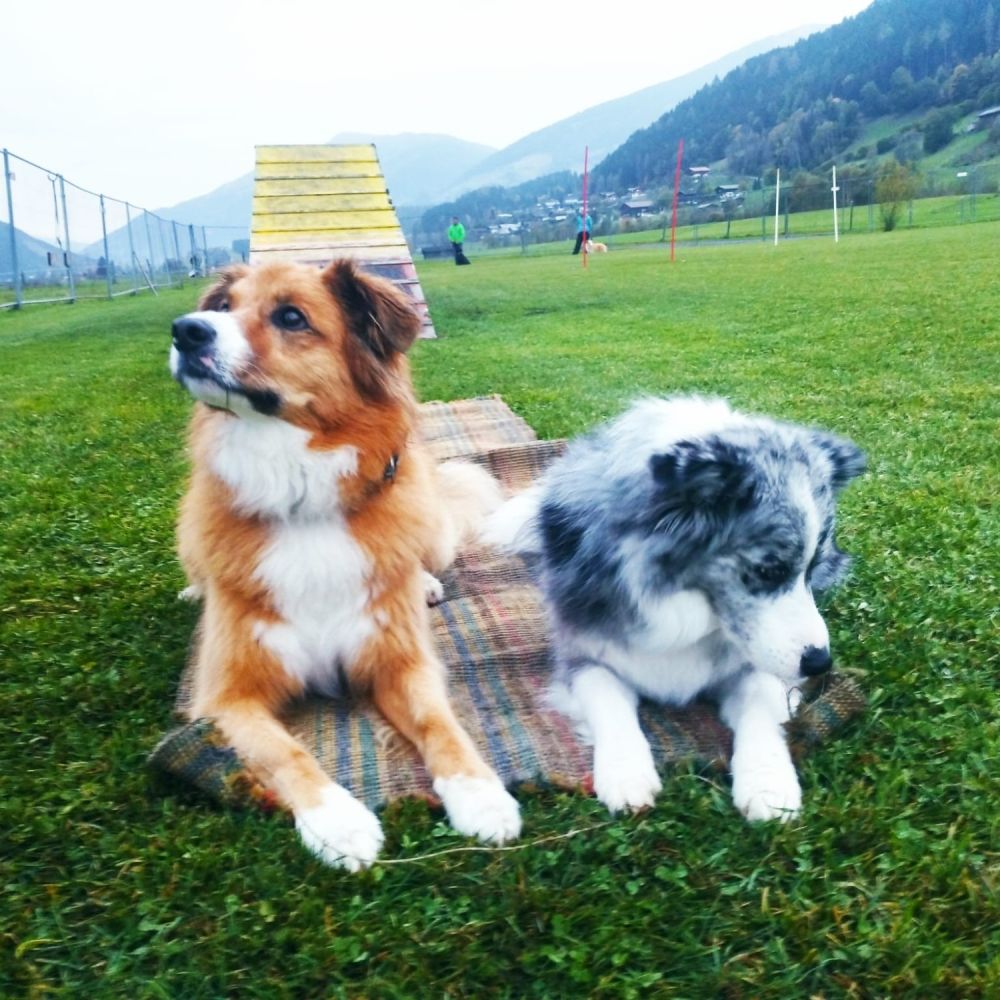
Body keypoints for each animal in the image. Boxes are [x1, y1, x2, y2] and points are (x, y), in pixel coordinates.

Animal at [169, 259, 521, 870]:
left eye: (291, 317)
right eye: (223, 307)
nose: (185, 330)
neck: (302, 502)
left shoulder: (401, 661)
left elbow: (440, 724)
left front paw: (481, 795)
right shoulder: (227, 699)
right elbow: (286, 753)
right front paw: (339, 822)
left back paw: (425, 583)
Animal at [485, 396, 865, 822]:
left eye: (812, 569)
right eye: (770, 570)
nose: (820, 663)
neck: (680, 601)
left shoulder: (758, 667)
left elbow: (760, 711)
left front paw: (768, 783)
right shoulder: (583, 655)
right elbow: (609, 703)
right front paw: (626, 773)